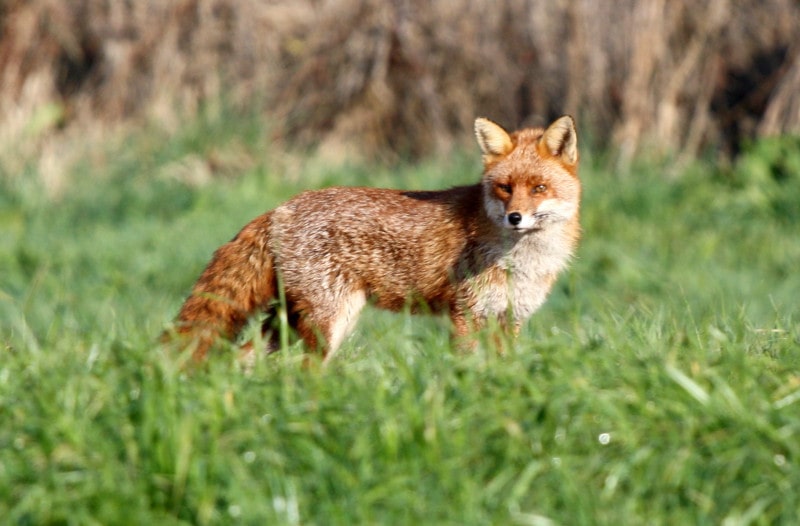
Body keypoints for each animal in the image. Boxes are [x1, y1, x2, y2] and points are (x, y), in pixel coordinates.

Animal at [170, 115, 580, 364]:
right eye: (505, 188)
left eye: (539, 188)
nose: (515, 218)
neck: (521, 262)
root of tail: (281, 207)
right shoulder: (466, 313)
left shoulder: (511, 317)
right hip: (330, 322)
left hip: (289, 323)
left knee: (243, 360)